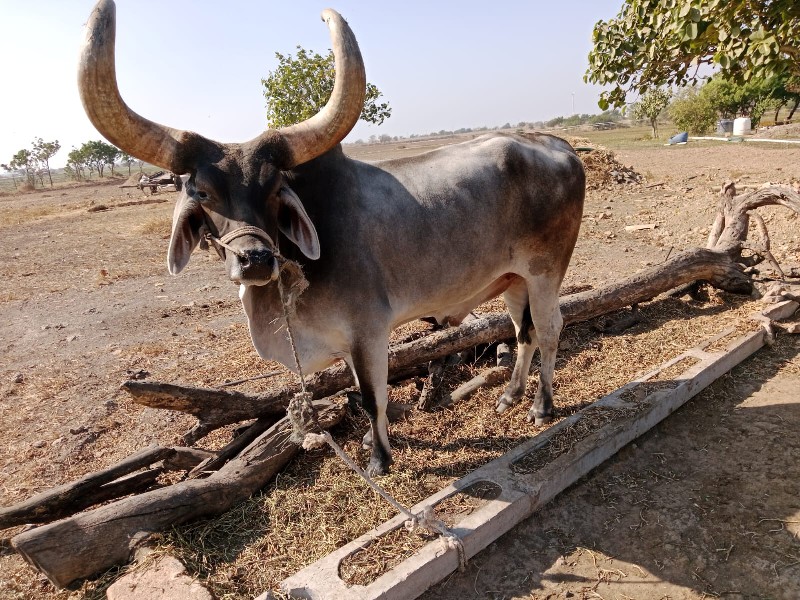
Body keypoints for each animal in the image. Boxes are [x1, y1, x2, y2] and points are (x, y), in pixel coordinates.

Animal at [78, 2, 584, 476]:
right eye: (202, 192)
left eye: (274, 187)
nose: (255, 260)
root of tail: (557, 145)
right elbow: (359, 394)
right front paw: (367, 444)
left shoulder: (369, 331)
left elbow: (371, 397)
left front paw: (379, 459)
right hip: (514, 279)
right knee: (523, 332)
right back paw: (510, 395)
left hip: (545, 273)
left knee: (550, 329)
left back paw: (542, 405)